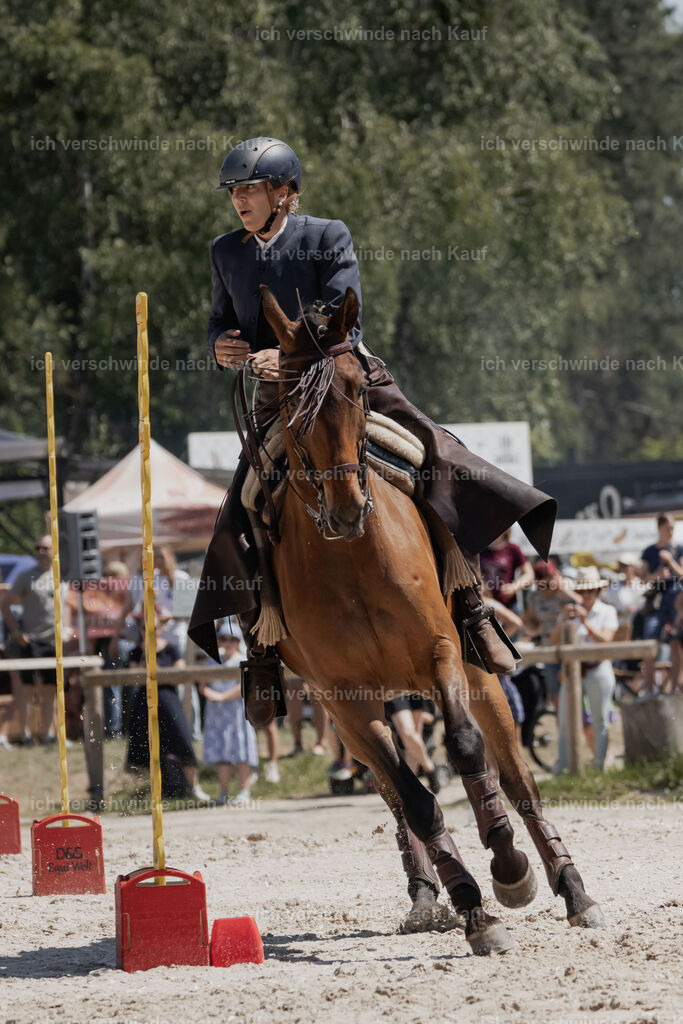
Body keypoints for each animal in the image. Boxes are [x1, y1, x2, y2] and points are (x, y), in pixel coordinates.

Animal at [257, 283, 604, 953]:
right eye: (290, 399)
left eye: (358, 389)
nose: (347, 507)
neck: (351, 560)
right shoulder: (344, 699)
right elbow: (416, 801)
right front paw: (474, 909)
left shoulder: (441, 651)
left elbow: (467, 750)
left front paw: (509, 869)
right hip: (362, 712)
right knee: (400, 794)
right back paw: (433, 894)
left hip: (482, 676)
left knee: (517, 781)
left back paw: (568, 885)